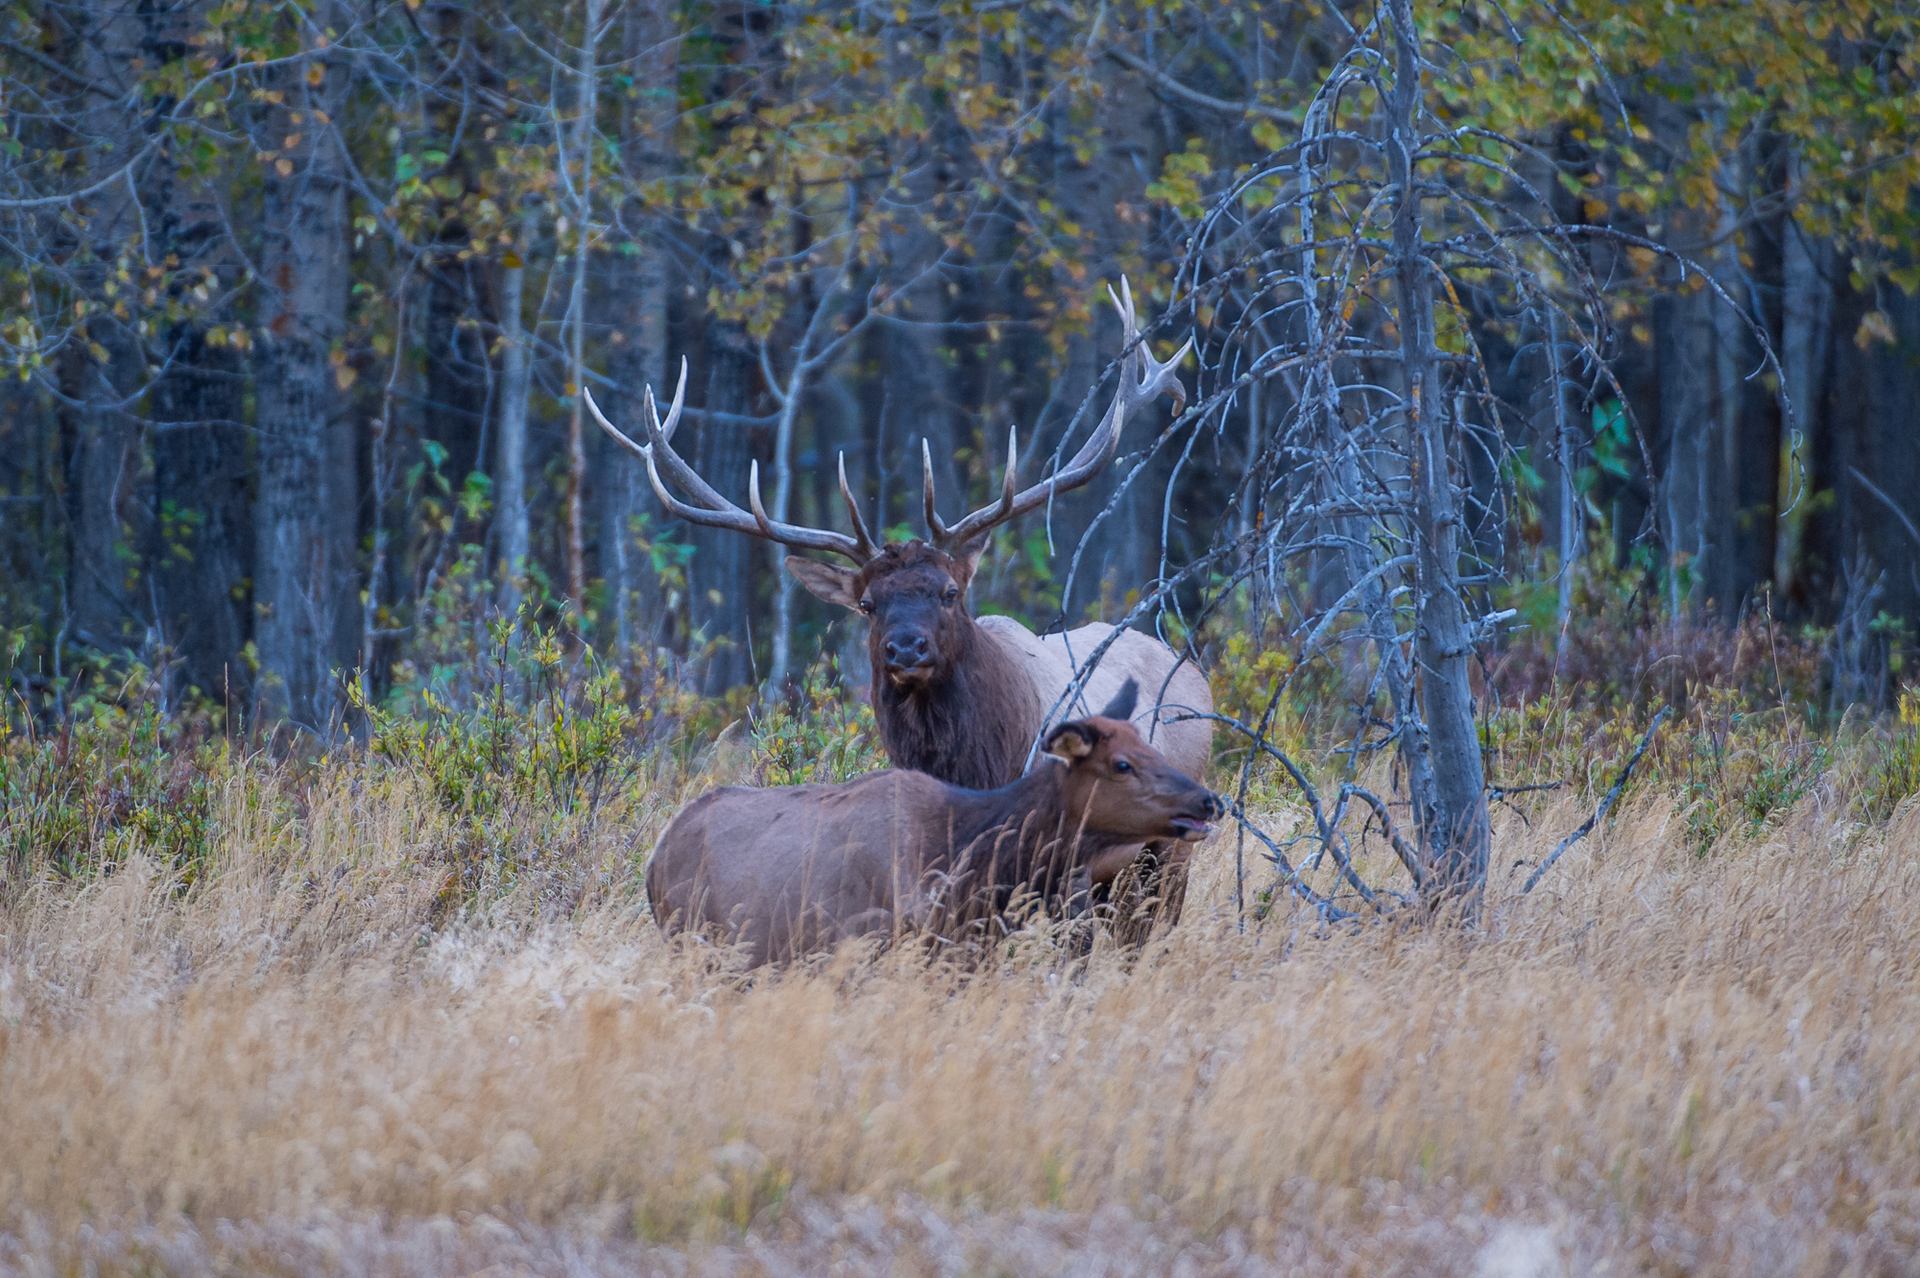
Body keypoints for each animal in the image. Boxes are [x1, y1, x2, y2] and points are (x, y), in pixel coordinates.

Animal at [588, 279, 1214, 938]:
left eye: (949, 592)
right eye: (867, 603)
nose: (906, 647)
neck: (976, 763)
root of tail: (1193, 670)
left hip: (1168, 853)